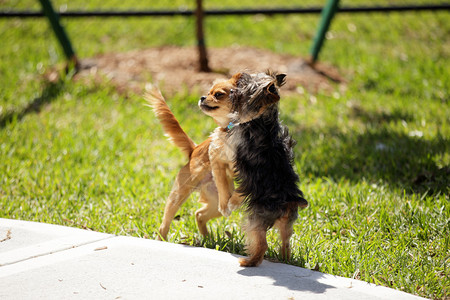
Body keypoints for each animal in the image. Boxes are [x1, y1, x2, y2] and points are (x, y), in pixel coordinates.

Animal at [145, 74, 243, 240]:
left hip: (215, 201)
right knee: (165, 224)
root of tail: (194, 149)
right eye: (210, 92)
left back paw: (207, 239)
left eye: (218, 94)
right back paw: (163, 239)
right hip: (179, 195)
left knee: (199, 214)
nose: (202, 97)